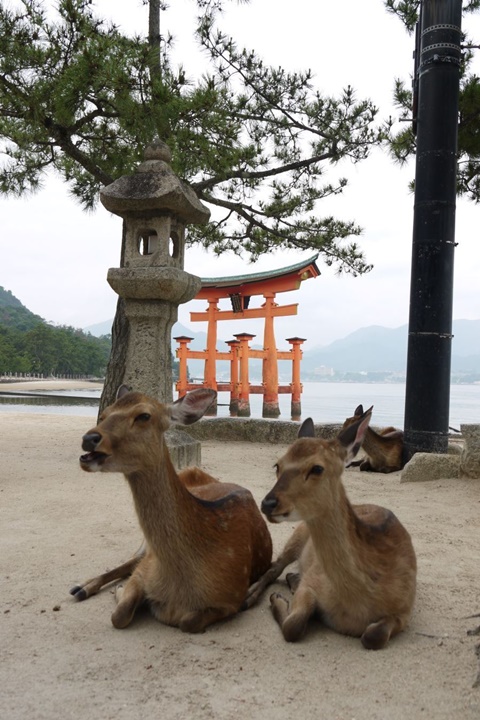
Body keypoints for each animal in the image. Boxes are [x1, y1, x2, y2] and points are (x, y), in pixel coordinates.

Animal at [71, 385, 273, 632]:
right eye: (105, 413)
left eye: (144, 416)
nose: (89, 438)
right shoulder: (145, 569)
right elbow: (119, 615)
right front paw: (120, 592)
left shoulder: (231, 597)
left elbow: (188, 621)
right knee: (129, 561)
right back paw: (81, 587)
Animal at [245, 407, 417, 649]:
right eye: (277, 465)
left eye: (317, 468)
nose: (268, 503)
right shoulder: (312, 581)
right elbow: (293, 625)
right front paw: (278, 599)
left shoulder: (405, 607)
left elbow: (374, 636)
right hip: (297, 534)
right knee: (274, 567)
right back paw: (252, 594)